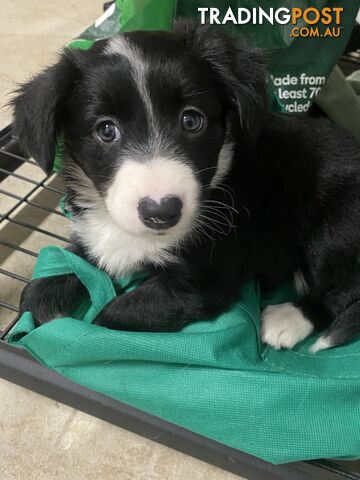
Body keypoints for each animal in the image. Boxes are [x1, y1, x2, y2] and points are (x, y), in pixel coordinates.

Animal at [12, 23, 360, 352]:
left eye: (191, 121)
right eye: (106, 130)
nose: (161, 211)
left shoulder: (206, 280)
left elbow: (107, 321)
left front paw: (72, 332)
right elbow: (65, 266)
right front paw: (45, 297)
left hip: (334, 229)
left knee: (341, 295)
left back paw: (287, 318)